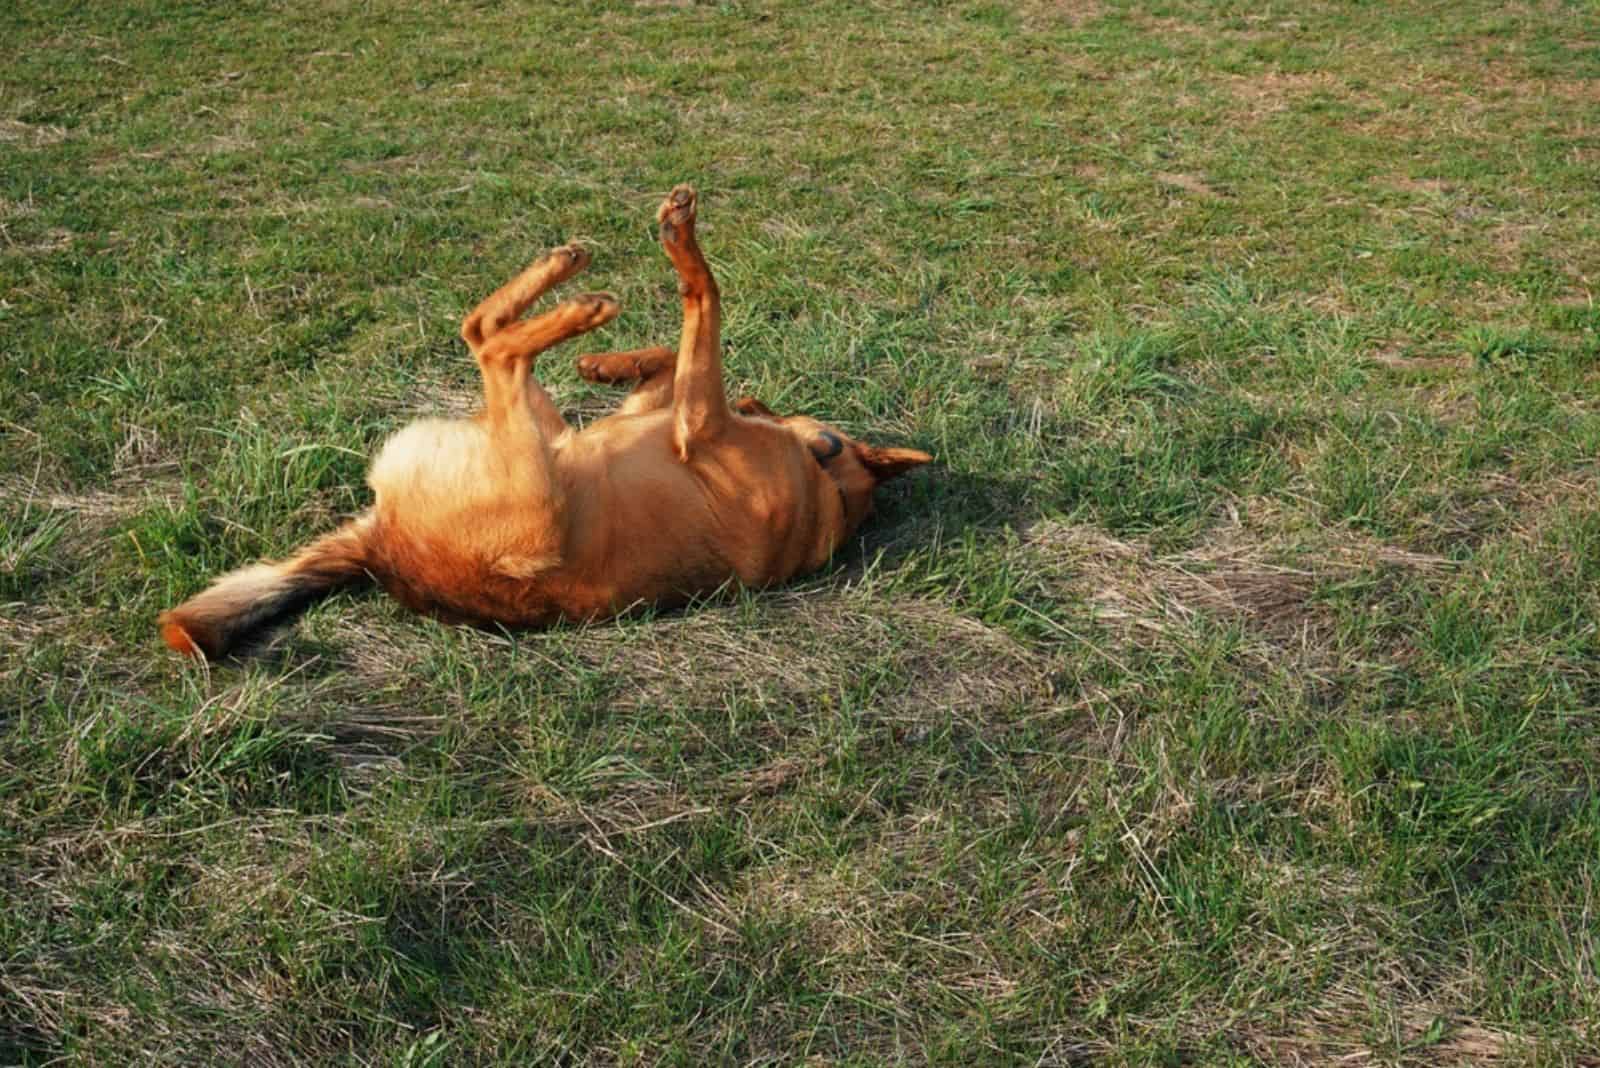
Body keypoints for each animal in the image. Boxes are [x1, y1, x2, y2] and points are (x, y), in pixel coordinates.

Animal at [156, 189, 934, 658]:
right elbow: (675, 350)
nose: (756, 404)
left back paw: (579, 304)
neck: (826, 483)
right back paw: (570, 288)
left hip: (534, 484)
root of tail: (382, 555)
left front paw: (678, 249)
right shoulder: (682, 410)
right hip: (551, 436)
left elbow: (704, 295)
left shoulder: (699, 420)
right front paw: (608, 364)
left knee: (490, 346)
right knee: (481, 329)